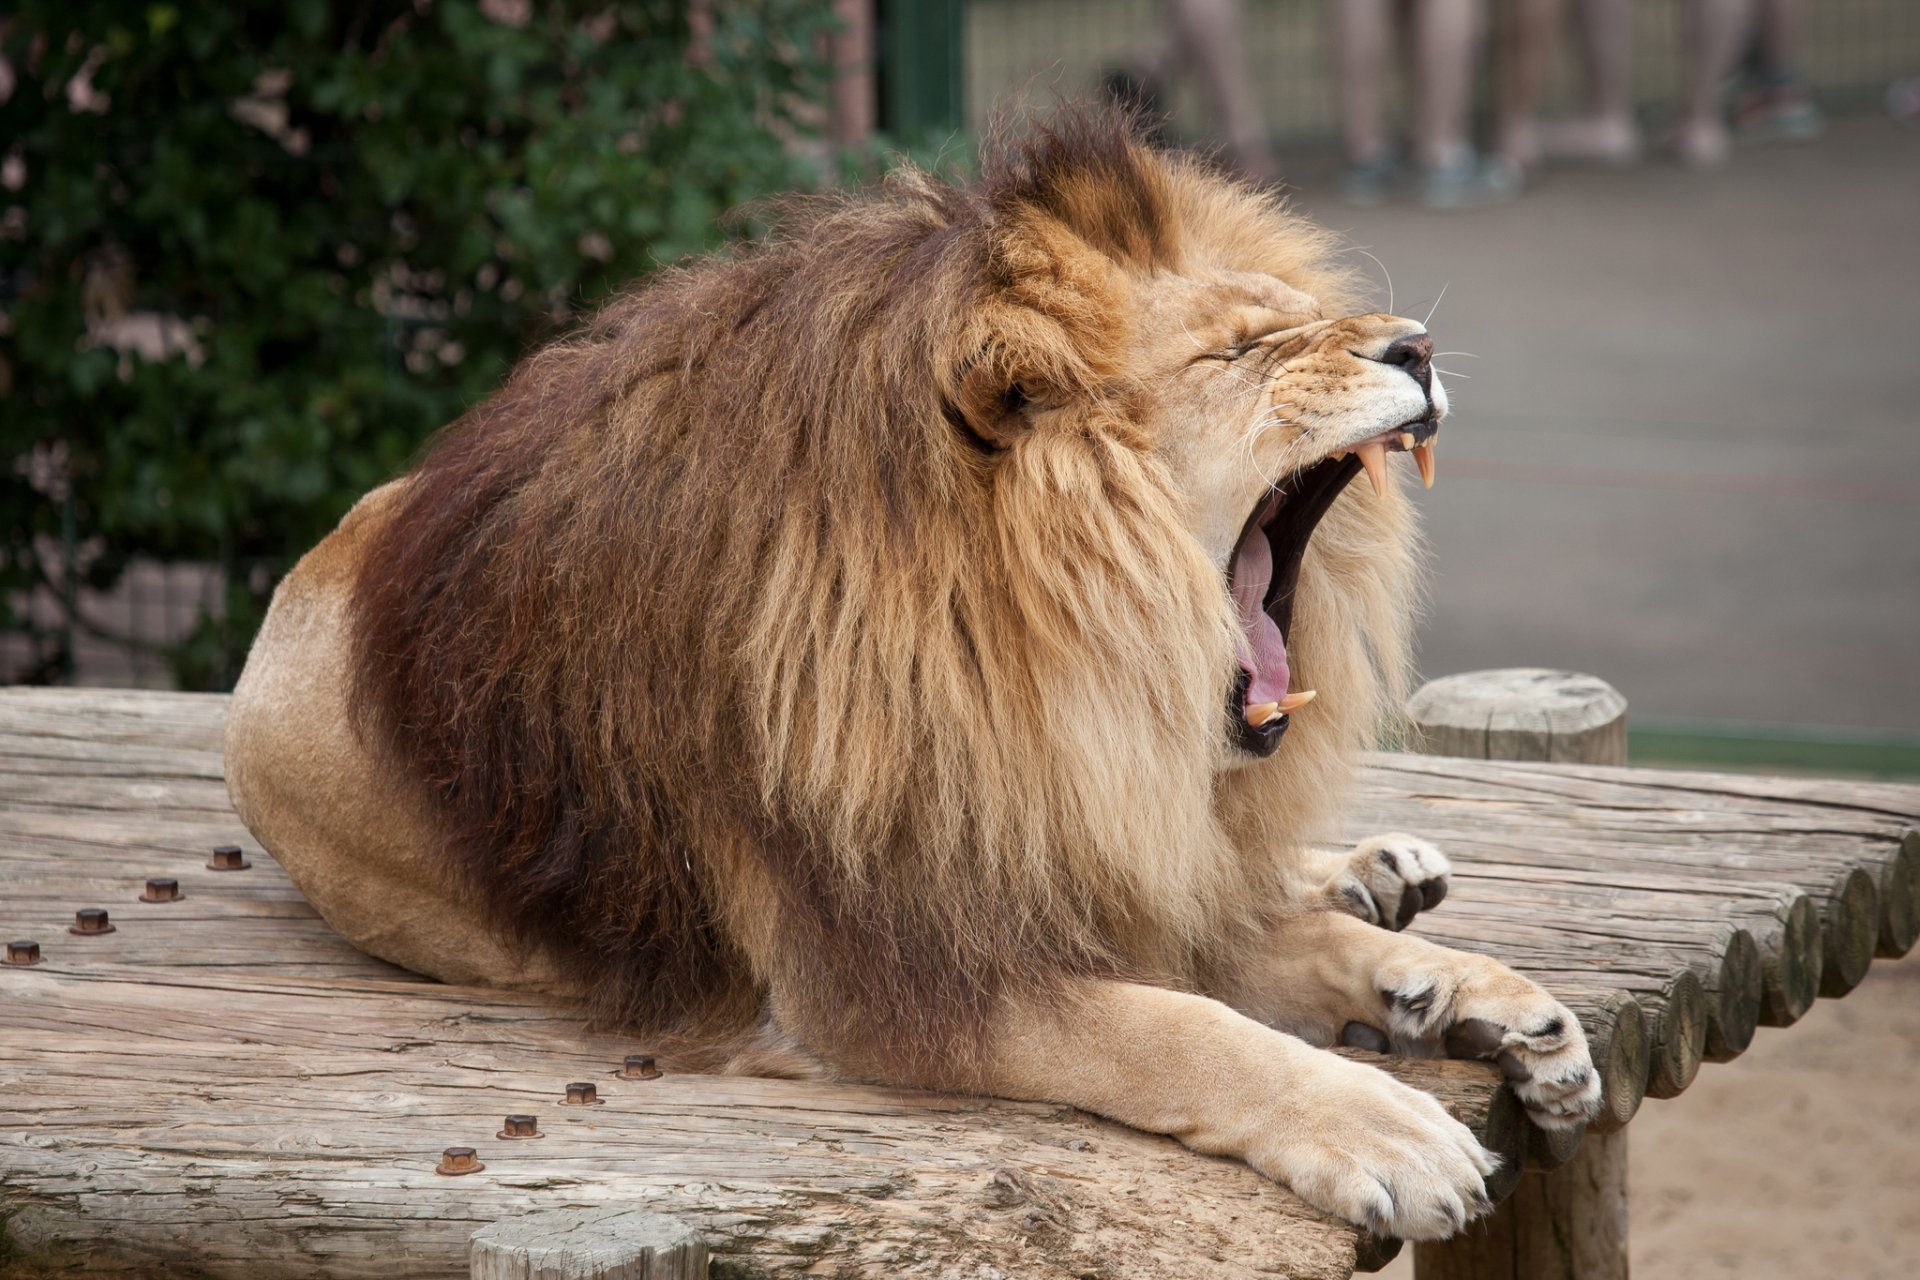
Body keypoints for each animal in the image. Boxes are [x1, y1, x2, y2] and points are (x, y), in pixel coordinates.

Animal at [224, 110, 1597, 1243]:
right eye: (1245, 348)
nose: (1417, 344)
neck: (1050, 671)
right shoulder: (886, 973)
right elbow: (1176, 1030)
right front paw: (1388, 1123)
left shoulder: (1054, 857)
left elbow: (1242, 945)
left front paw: (1482, 997)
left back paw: (1383, 885)